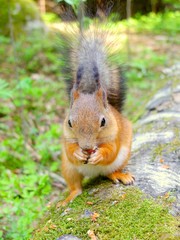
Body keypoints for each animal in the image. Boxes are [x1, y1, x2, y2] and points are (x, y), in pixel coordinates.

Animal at [59, 18, 134, 206]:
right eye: (69, 122)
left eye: (103, 121)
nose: (86, 147)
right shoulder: (66, 138)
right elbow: (70, 150)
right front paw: (78, 152)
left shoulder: (114, 135)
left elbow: (110, 150)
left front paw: (99, 154)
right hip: (68, 169)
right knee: (76, 186)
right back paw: (69, 197)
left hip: (122, 158)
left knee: (109, 172)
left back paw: (120, 175)